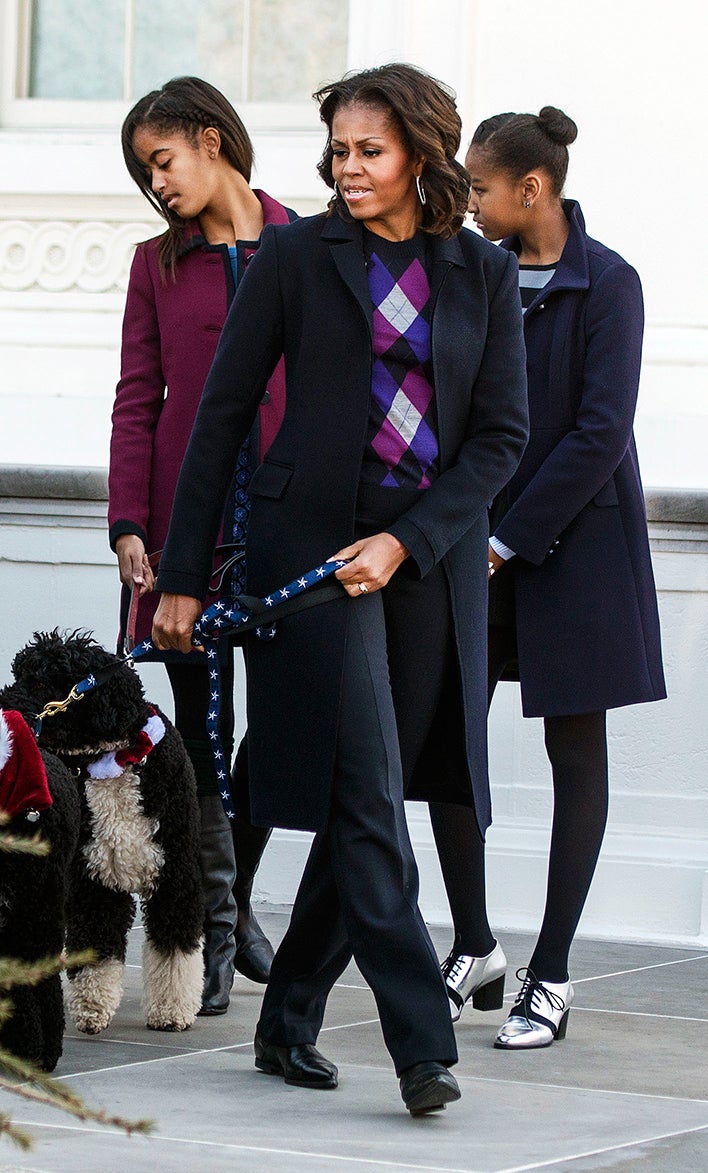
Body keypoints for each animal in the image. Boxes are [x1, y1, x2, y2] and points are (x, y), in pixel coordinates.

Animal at [0, 630, 205, 1035]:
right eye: (18, 674)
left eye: (41, 682)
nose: (1, 703)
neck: (112, 760)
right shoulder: (94, 880)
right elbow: (96, 948)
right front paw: (92, 1008)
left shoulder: (175, 877)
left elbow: (175, 949)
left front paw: (172, 1009)